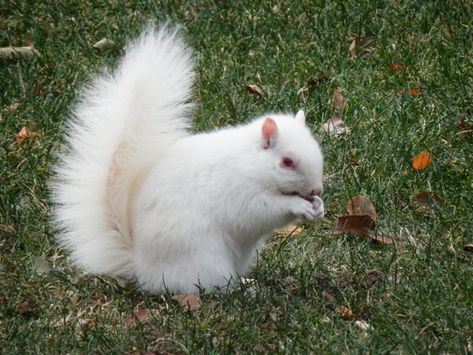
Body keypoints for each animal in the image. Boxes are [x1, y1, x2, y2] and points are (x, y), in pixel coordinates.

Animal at [52, 25, 324, 294]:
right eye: (287, 162)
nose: (316, 189)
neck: (251, 163)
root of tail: (143, 270)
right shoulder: (239, 191)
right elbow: (263, 211)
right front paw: (298, 206)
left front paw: (318, 206)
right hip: (205, 261)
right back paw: (243, 290)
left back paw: (247, 282)